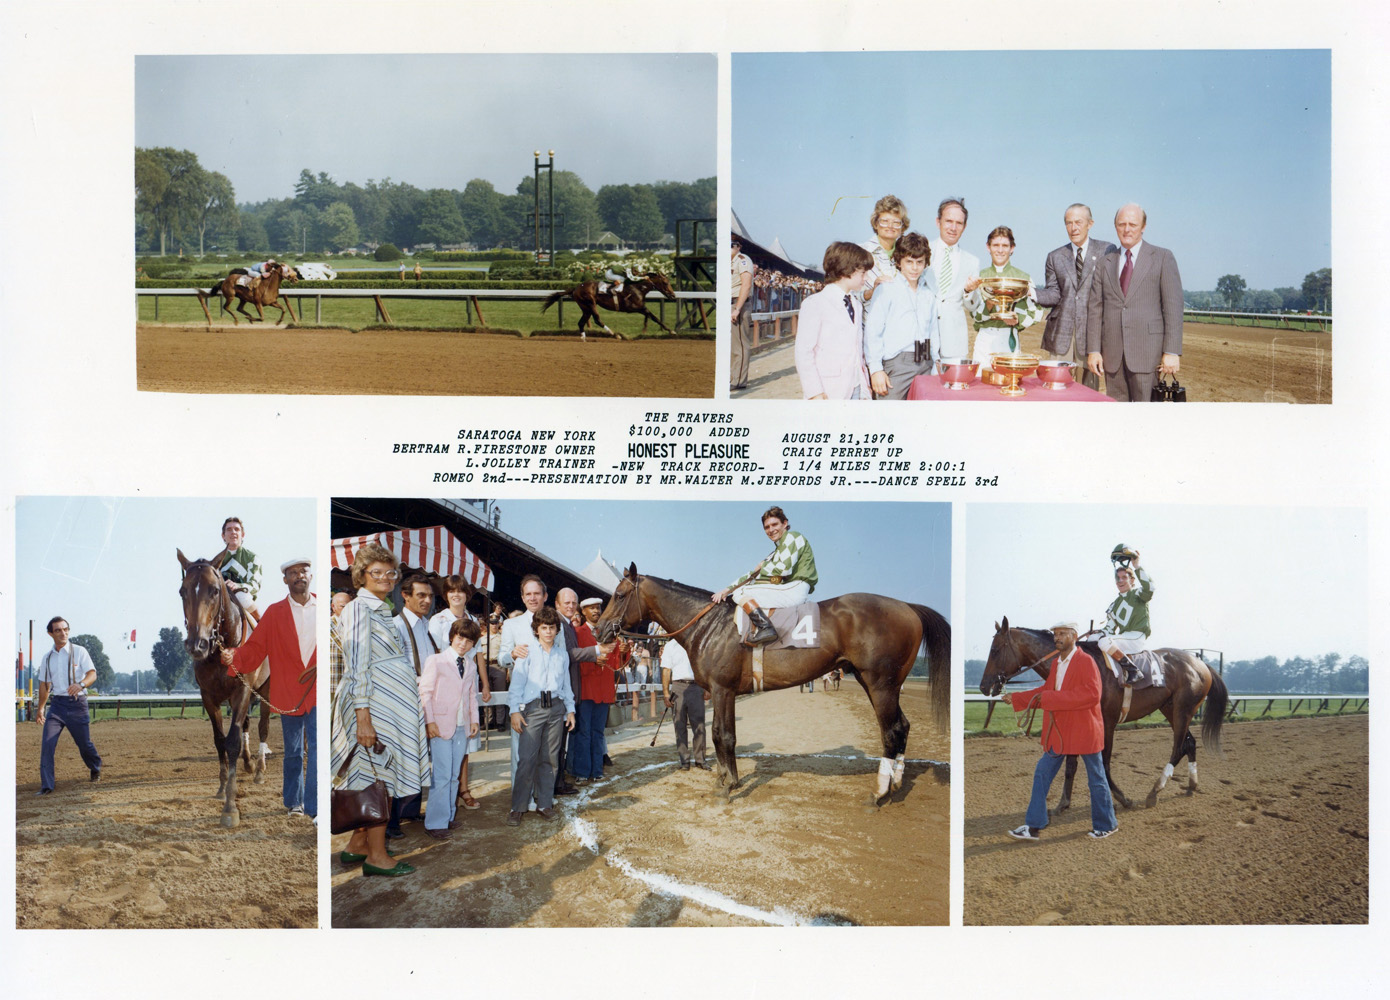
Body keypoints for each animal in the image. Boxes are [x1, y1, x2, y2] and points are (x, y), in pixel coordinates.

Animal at [175, 547, 269, 828]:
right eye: (183, 591)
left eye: (215, 590)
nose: (197, 644)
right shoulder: (209, 696)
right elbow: (219, 741)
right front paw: (221, 787)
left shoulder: (242, 691)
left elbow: (232, 741)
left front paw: (230, 805)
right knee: (247, 725)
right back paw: (249, 765)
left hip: (265, 690)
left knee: (262, 726)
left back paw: (260, 770)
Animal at [536, 269, 678, 340]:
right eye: (665, 282)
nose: (673, 296)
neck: (638, 288)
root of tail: (576, 288)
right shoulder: (632, 307)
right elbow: (651, 315)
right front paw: (669, 331)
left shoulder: (639, 307)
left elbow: (651, 316)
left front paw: (669, 331)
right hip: (591, 303)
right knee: (597, 320)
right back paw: (615, 334)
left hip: (585, 307)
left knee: (581, 323)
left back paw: (584, 338)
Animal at [592, 561, 950, 806]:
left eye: (619, 595)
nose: (598, 631)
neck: (710, 625)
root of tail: (907, 607)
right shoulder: (724, 692)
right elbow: (722, 735)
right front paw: (725, 779)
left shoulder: (722, 689)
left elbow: (723, 735)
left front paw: (728, 785)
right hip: (877, 683)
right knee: (902, 726)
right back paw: (896, 783)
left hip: (880, 684)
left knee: (890, 731)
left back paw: (879, 793)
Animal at [978, 617, 1228, 812]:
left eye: (995, 650)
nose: (983, 686)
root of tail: (1200, 663)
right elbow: (1071, 763)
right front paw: (1063, 803)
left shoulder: (1107, 722)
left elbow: (1104, 762)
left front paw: (1121, 798)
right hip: (1171, 709)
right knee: (1189, 743)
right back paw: (1191, 786)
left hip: (1183, 710)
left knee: (1178, 747)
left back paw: (1155, 791)